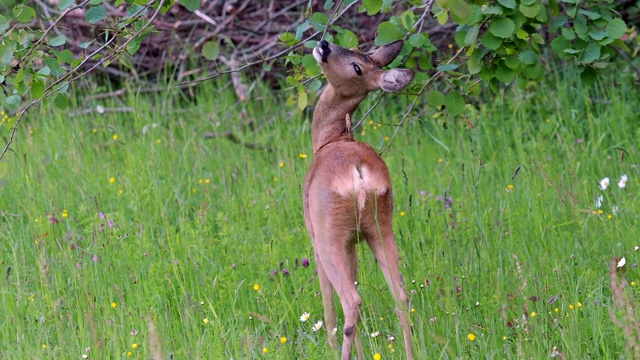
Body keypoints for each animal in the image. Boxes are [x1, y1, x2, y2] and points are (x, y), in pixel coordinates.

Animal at [304, 40, 416, 360]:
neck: (330, 139)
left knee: (350, 300)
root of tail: (360, 173)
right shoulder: (352, 241)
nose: (324, 44)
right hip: (381, 226)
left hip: (328, 235)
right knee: (401, 295)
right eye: (352, 49)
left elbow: (328, 306)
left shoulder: (317, 236)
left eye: (357, 68)